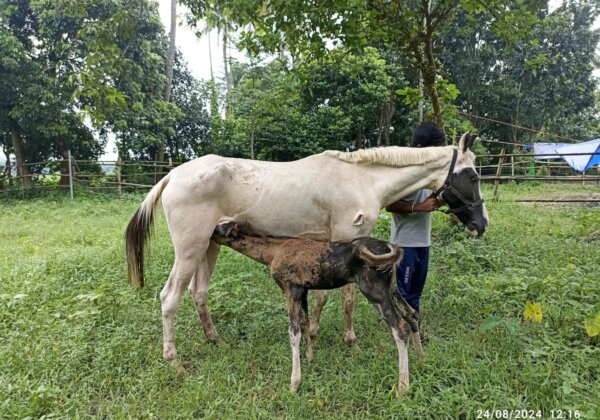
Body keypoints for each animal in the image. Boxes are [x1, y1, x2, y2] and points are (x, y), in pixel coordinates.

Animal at [125, 133, 488, 362]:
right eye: (473, 176)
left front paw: (313, 334)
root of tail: (171, 176)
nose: (480, 224)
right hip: (190, 249)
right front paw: (350, 342)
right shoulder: (347, 241)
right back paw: (173, 359)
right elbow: (346, 298)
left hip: (208, 247)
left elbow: (324, 296)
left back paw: (215, 340)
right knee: (170, 297)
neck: (363, 179)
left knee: (198, 293)